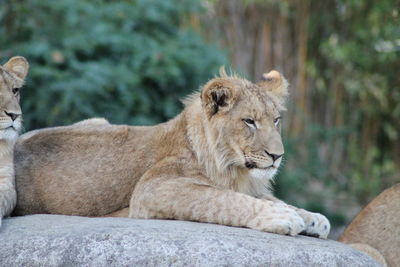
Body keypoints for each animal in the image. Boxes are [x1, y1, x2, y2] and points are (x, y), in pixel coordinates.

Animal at [14, 68, 330, 239]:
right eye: (249, 121)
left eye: (276, 120)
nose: (277, 156)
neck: (230, 166)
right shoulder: (152, 189)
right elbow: (224, 200)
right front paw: (283, 217)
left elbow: (266, 197)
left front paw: (312, 217)